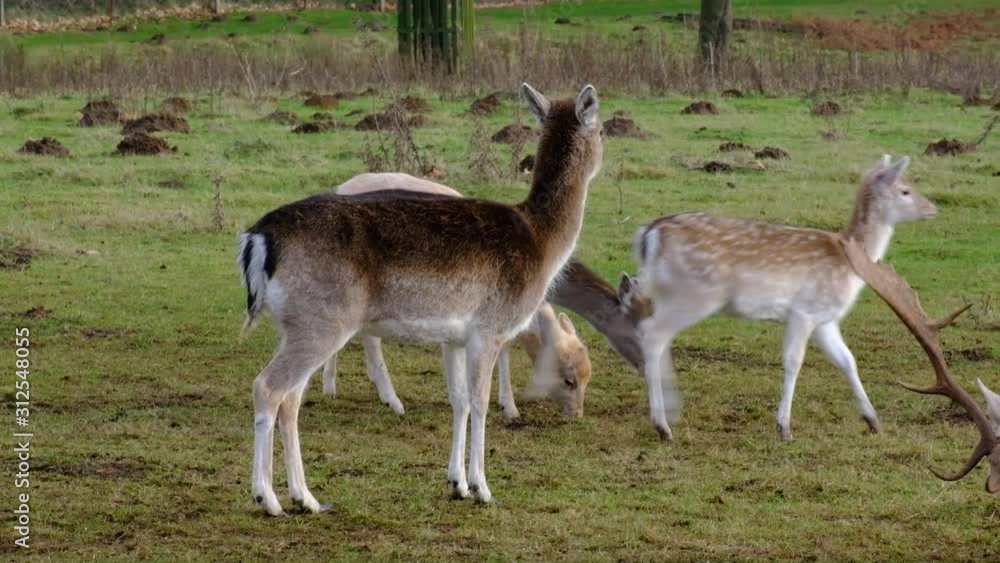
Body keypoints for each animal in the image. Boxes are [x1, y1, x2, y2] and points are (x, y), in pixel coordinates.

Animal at [322, 173, 592, 419]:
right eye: (569, 380)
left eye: (587, 377)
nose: (577, 415)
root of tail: (342, 187)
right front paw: (509, 407)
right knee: (369, 339)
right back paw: (389, 398)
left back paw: (331, 385)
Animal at [631, 155, 937, 441]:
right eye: (905, 190)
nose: (933, 209)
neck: (850, 263)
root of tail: (651, 232)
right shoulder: (805, 311)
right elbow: (794, 361)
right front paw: (784, 427)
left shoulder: (825, 320)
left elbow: (847, 360)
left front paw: (873, 420)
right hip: (696, 293)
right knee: (653, 334)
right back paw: (662, 426)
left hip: (666, 292)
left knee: (655, 334)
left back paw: (671, 410)